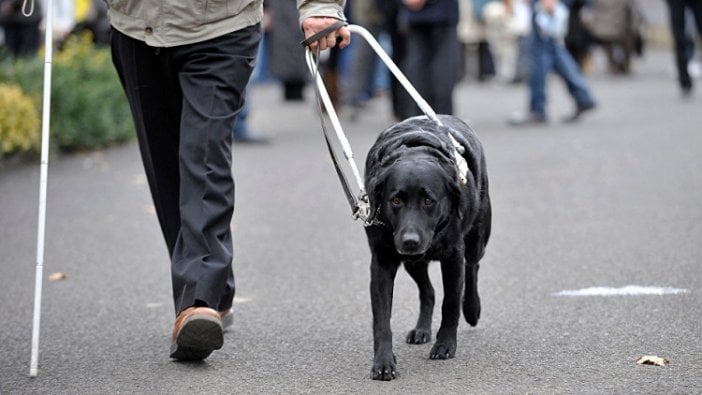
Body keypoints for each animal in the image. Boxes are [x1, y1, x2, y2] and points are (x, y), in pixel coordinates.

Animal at [366, 114, 492, 380]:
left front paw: (445, 345)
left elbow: (451, 303)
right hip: (412, 261)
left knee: (472, 267)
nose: (410, 240)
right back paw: (421, 330)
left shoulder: (453, 257)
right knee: (429, 291)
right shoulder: (382, 261)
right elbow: (381, 319)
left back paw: (472, 308)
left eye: (428, 200)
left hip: (477, 237)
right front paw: (383, 361)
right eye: (395, 200)